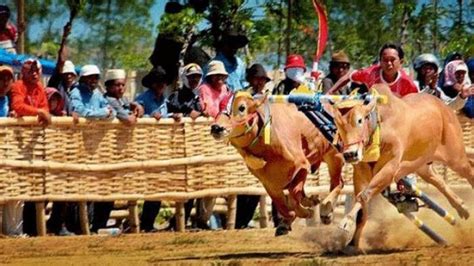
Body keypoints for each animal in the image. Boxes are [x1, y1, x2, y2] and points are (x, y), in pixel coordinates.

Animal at [211, 92, 344, 235]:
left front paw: (306, 212)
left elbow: (293, 194)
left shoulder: (302, 166)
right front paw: (286, 223)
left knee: (337, 183)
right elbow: (283, 206)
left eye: (242, 107)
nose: (216, 127)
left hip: (334, 156)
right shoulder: (270, 184)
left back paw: (326, 211)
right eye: (219, 106)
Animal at [326, 83, 474, 251]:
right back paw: (462, 207)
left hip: (455, 157)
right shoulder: (360, 175)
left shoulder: (389, 170)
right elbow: (362, 210)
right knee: (438, 180)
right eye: (338, 123)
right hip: (422, 164)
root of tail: (445, 107)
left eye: (359, 120)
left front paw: (346, 222)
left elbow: (364, 196)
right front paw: (352, 244)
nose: (350, 154)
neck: (379, 128)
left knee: (469, 170)